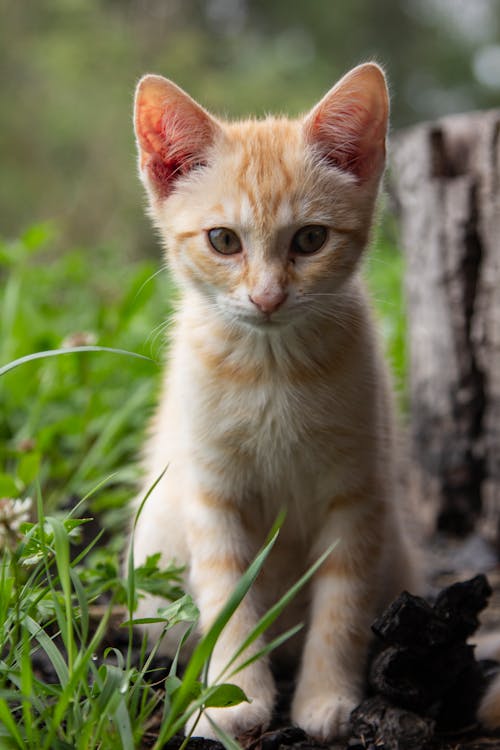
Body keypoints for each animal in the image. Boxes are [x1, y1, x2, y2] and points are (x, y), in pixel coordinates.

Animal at [132, 63, 418, 740]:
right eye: (223, 240)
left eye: (310, 239)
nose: (267, 298)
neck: (272, 371)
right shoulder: (210, 494)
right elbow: (228, 597)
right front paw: (234, 699)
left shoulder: (359, 495)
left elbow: (342, 605)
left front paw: (325, 699)